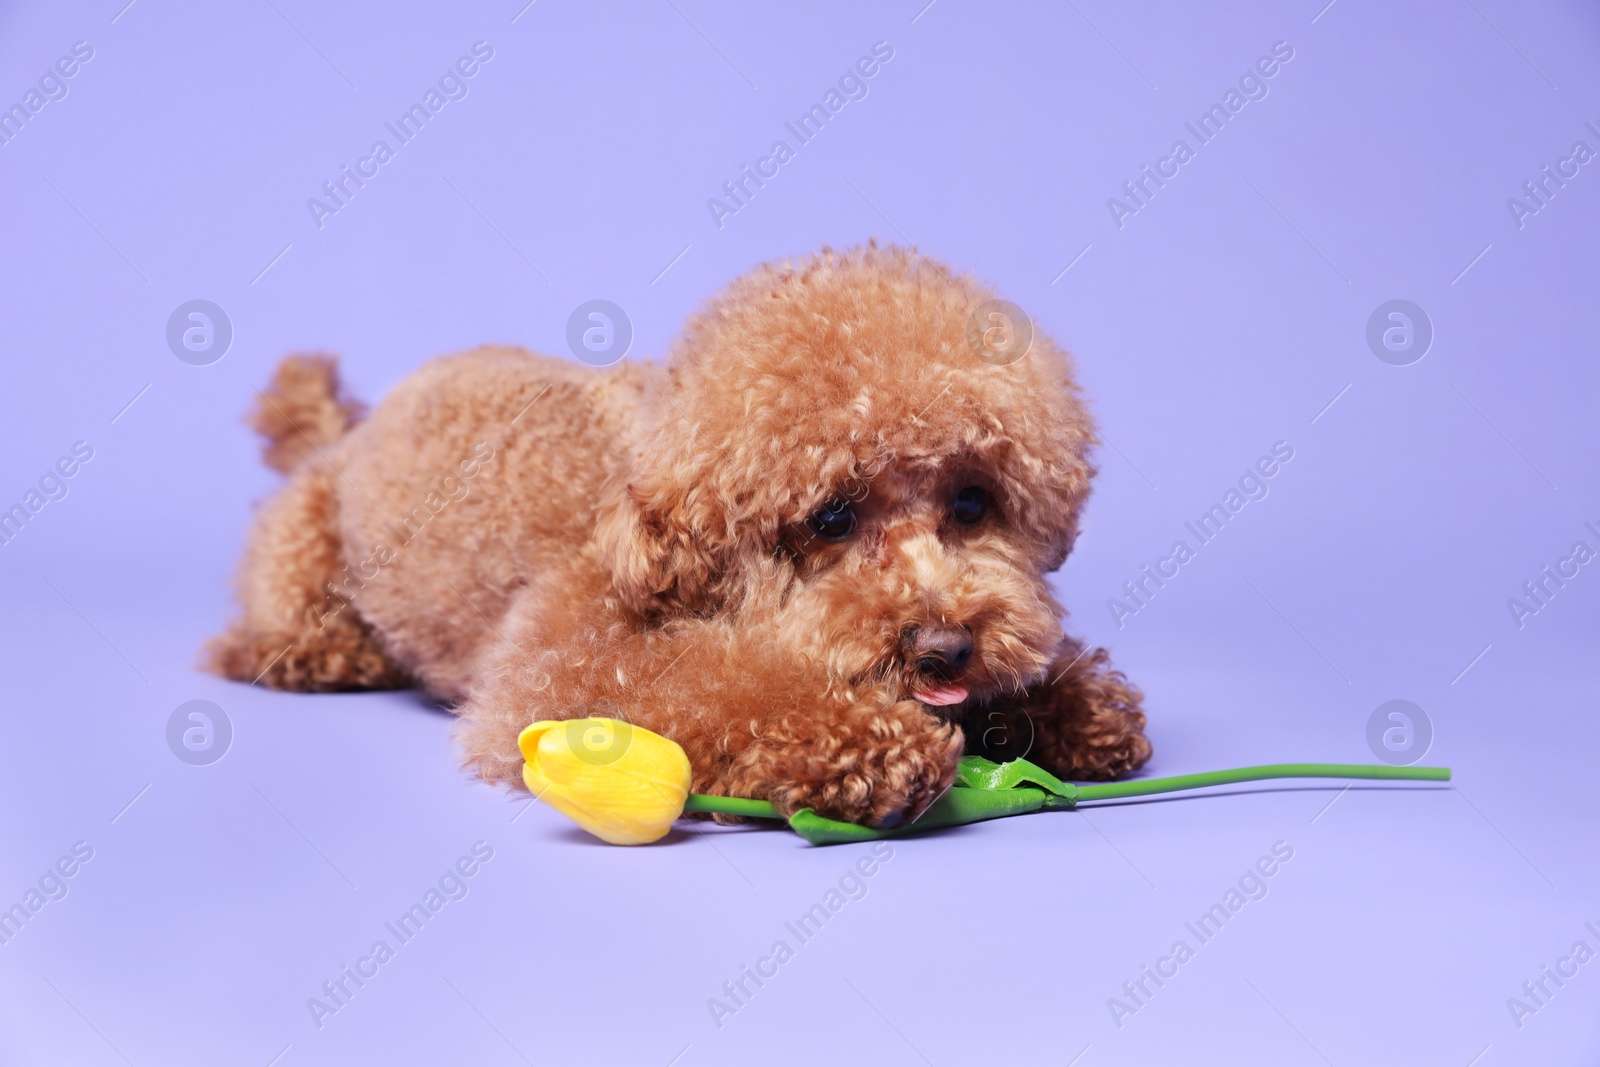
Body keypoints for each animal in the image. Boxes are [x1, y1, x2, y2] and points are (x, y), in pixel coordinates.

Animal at [209, 246, 1152, 831]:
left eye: (971, 501)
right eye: (832, 517)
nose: (944, 647)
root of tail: (345, 432)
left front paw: (1067, 704)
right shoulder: (558, 668)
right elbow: (713, 687)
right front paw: (873, 748)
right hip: (301, 550)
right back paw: (321, 653)